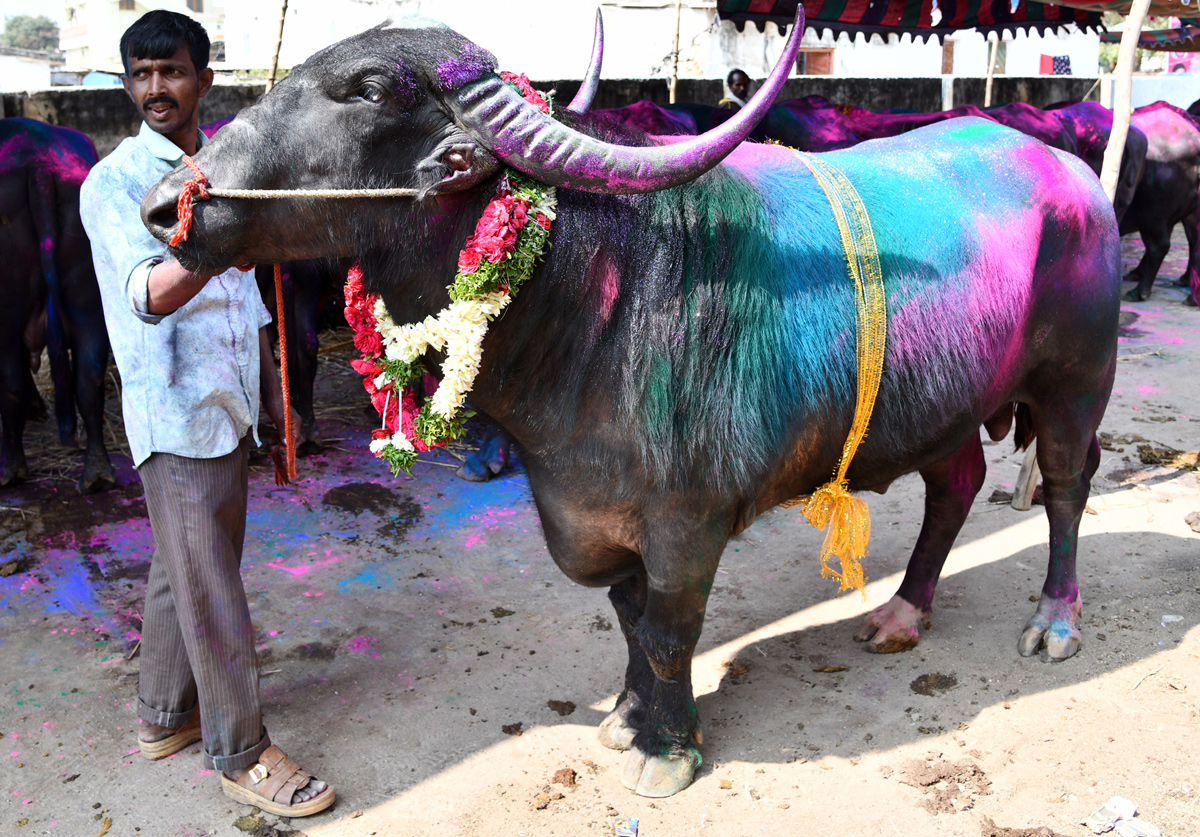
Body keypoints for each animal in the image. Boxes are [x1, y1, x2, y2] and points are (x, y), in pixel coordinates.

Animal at [0, 115, 113, 489]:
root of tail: (37, 162)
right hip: (88, 301)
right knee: (89, 380)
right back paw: (97, 474)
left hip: (5, 309)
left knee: (10, 380)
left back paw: (11, 470)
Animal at [142, 14, 1123, 796]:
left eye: (371, 88)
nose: (164, 207)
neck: (597, 304)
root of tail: (1073, 176)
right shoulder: (590, 513)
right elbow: (628, 614)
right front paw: (625, 714)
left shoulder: (688, 522)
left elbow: (669, 629)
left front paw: (668, 747)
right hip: (948, 402)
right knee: (954, 485)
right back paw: (902, 612)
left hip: (1077, 382)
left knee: (1067, 487)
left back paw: (1053, 621)